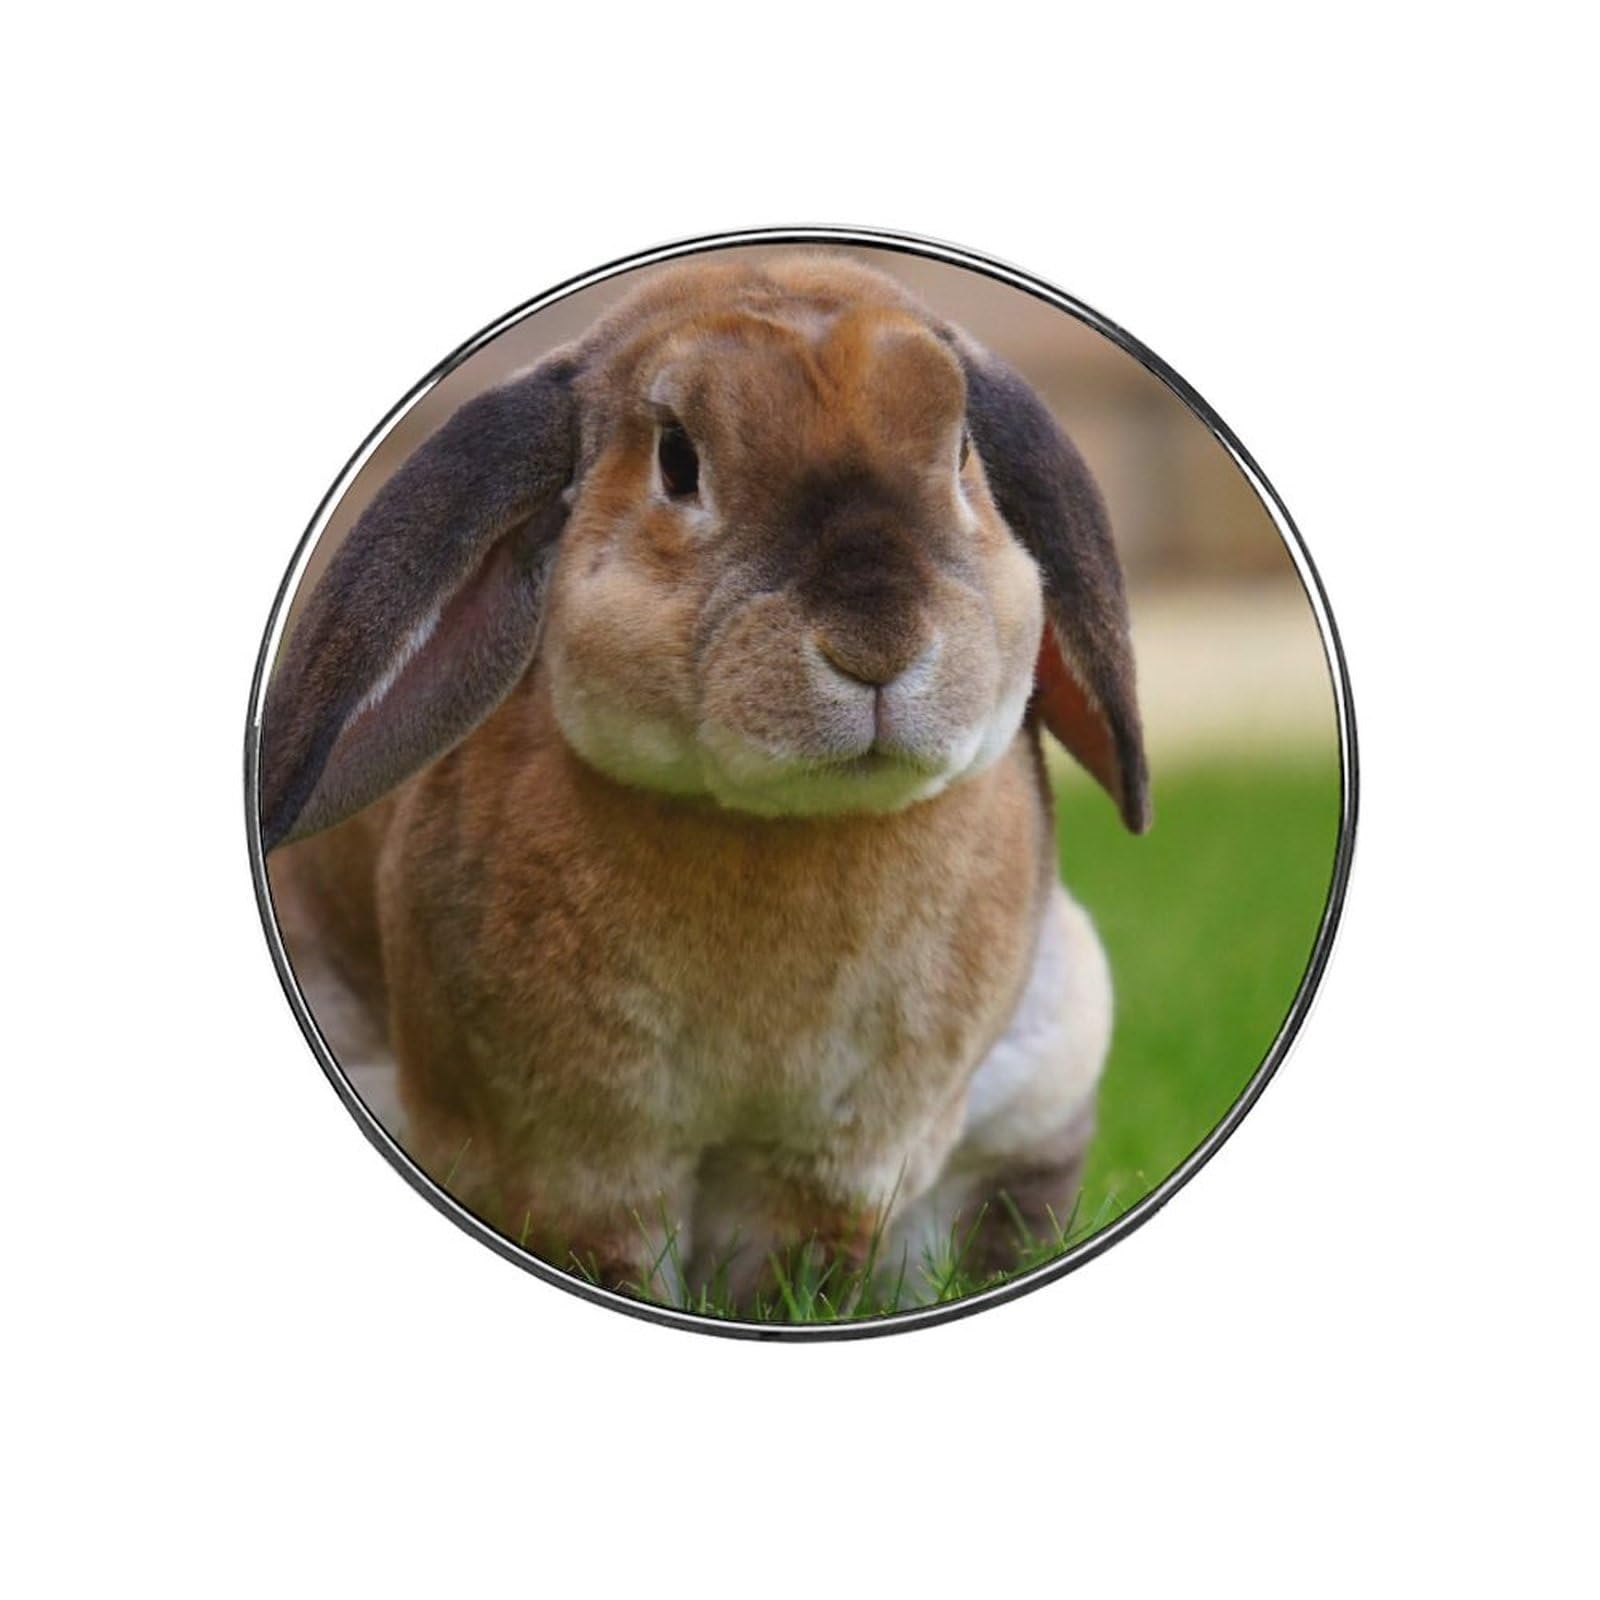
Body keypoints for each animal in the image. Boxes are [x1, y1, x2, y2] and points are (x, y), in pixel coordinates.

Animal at [260, 252, 1149, 1307]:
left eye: (962, 448)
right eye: (678, 460)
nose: (877, 643)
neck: (783, 827)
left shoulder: (838, 1162)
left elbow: (795, 1265)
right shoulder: (580, 1159)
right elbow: (617, 1255)